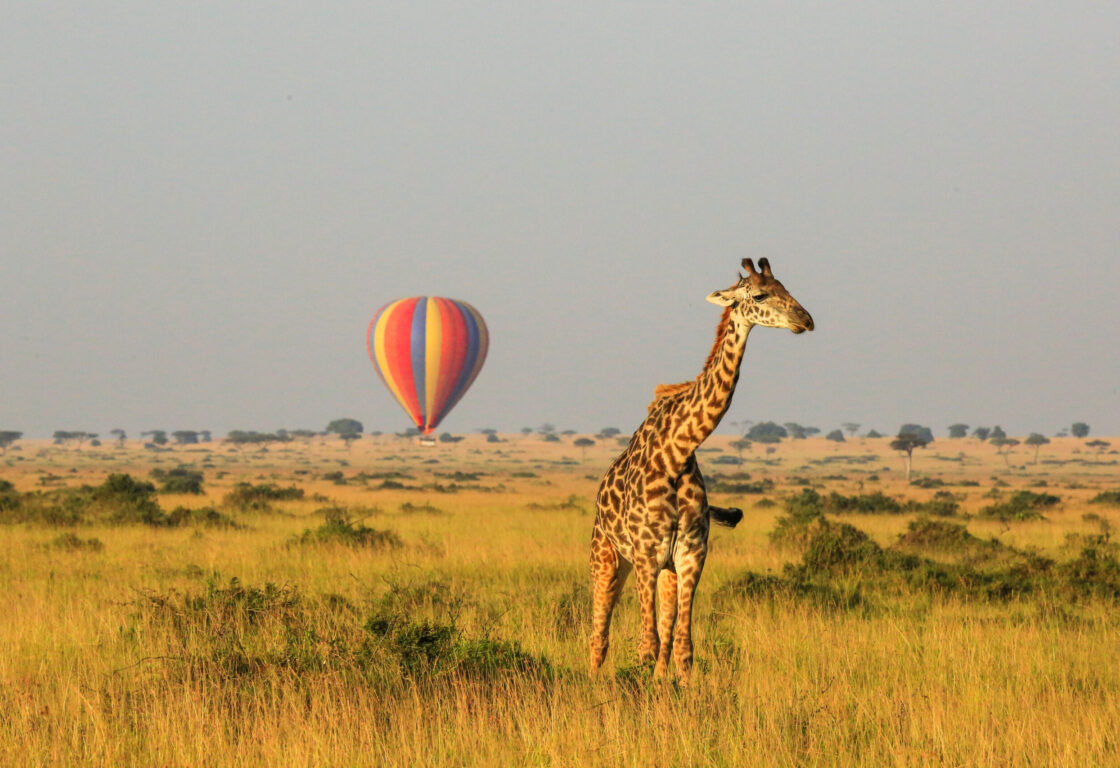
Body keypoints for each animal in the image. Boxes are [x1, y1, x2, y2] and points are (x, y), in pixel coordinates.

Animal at [589, 257, 814, 682]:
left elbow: (681, 649)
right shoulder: (645, 554)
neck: (676, 452)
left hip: (664, 570)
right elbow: (646, 646)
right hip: (607, 557)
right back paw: (593, 682)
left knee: (661, 638)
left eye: (788, 289)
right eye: (761, 295)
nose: (805, 320)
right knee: (599, 636)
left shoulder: (691, 554)